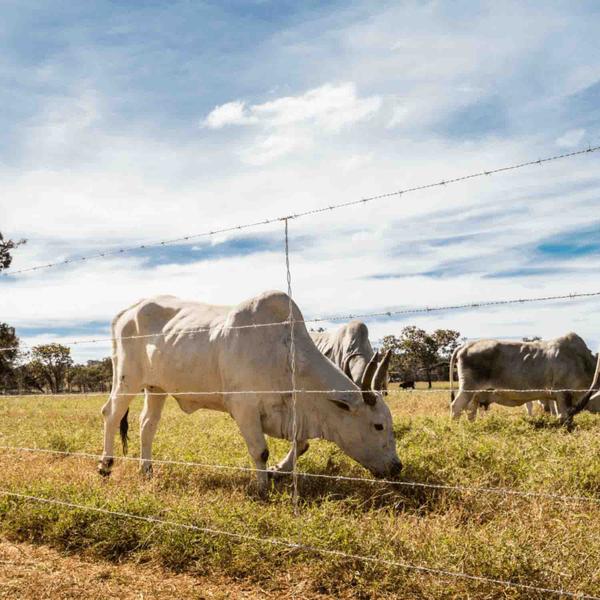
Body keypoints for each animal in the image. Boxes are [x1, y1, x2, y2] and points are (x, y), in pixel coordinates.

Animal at [98, 290, 400, 492]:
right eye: (378, 426)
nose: (397, 467)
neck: (285, 355)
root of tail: (127, 311)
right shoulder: (244, 408)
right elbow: (260, 451)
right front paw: (262, 488)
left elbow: (300, 445)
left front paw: (277, 473)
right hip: (127, 379)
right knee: (111, 413)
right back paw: (105, 464)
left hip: (156, 387)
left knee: (147, 424)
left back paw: (146, 470)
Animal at [450, 332, 596, 422]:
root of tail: (466, 345)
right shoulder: (563, 393)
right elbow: (564, 416)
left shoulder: (556, 397)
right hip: (468, 387)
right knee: (456, 406)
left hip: (474, 393)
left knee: (470, 410)